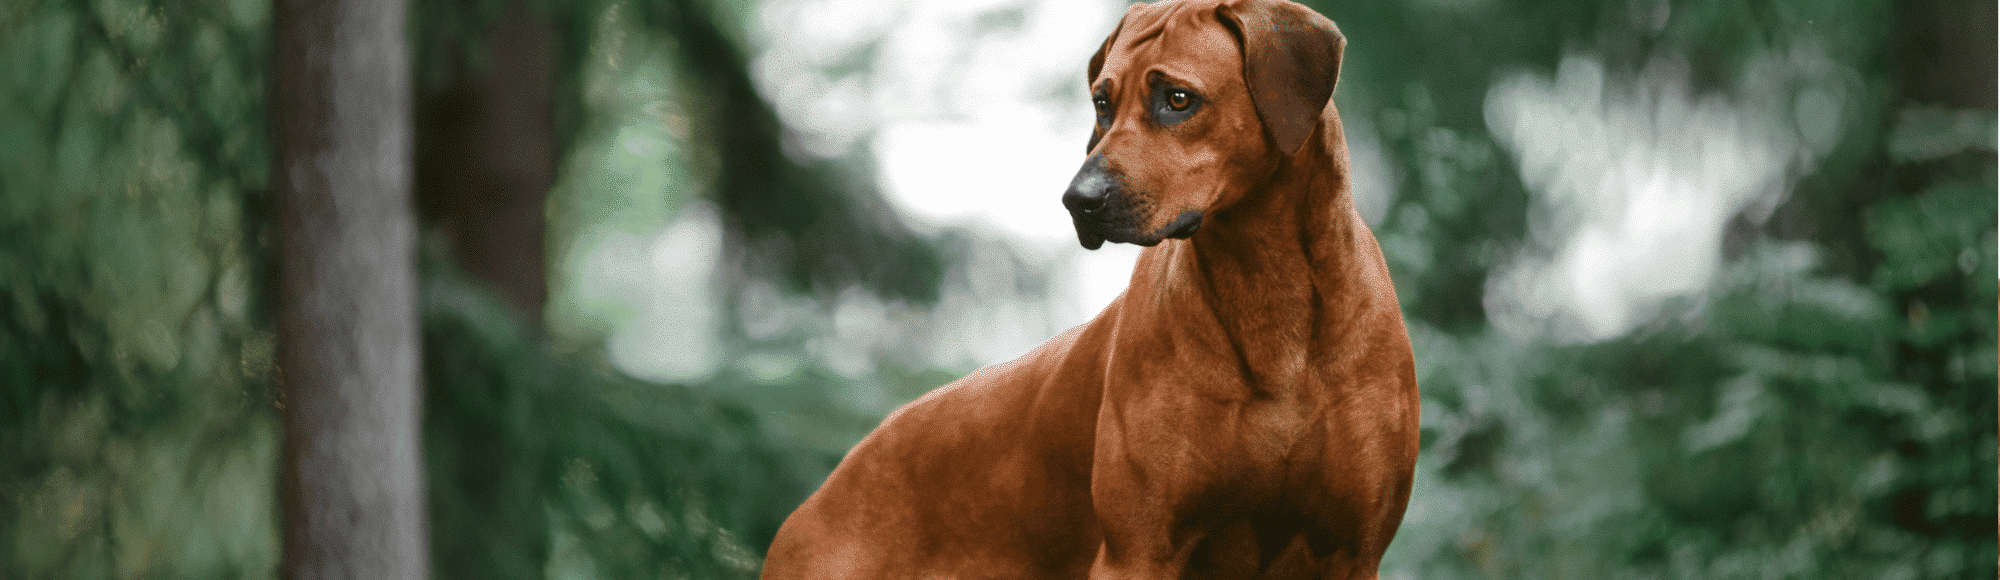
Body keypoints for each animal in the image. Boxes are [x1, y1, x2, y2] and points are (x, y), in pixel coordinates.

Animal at [752, 1, 1424, 576]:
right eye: (1102, 103)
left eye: (1178, 99)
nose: (1079, 201)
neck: (1268, 285)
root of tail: (820, 495)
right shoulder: (1139, 549)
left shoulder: (1352, 553)